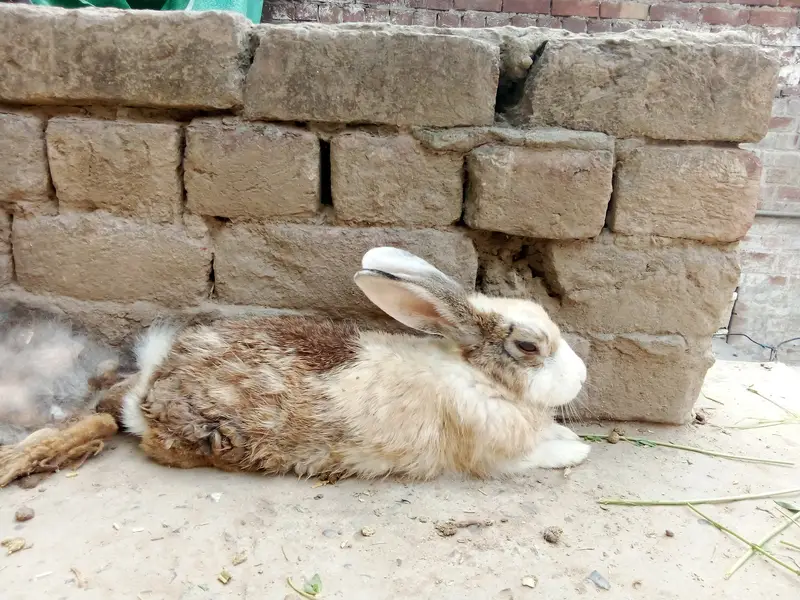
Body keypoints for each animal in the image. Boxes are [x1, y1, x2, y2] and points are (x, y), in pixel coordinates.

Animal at [111, 247, 590, 481]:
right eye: (528, 346)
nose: (582, 376)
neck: (477, 375)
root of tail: (151, 390)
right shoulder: (493, 455)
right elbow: (539, 455)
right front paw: (578, 450)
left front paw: (569, 435)